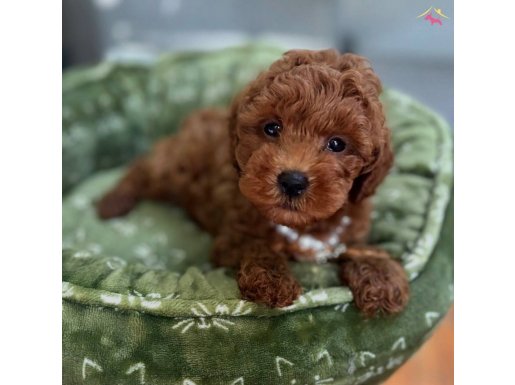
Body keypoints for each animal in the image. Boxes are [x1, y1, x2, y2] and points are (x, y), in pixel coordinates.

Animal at [98, 48, 412, 316]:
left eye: (337, 144)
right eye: (271, 128)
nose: (292, 181)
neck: (300, 226)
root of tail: (195, 119)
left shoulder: (351, 226)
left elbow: (358, 245)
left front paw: (381, 274)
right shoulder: (230, 238)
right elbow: (257, 246)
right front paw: (272, 281)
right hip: (174, 168)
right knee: (142, 168)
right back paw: (113, 202)